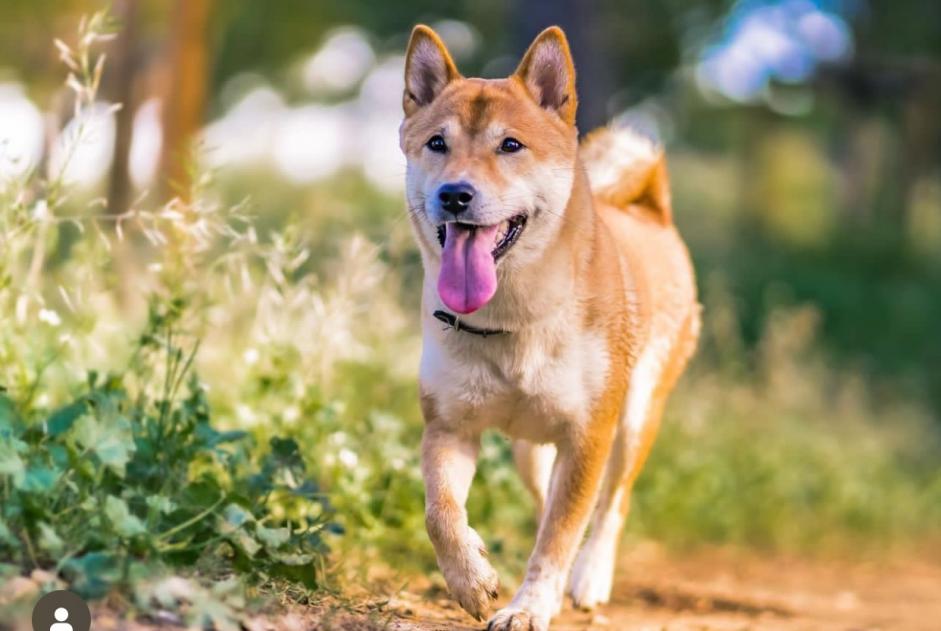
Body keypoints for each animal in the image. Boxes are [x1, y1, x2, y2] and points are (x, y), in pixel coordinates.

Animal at [396, 24, 696, 631]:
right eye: (437, 143)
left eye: (510, 145)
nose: (454, 194)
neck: (511, 319)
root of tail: (649, 209)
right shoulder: (449, 427)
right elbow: (441, 513)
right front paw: (472, 579)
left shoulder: (588, 436)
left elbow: (562, 534)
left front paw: (529, 606)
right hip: (529, 450)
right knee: (544, 506)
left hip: (634, 420)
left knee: (611, 505)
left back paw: (589, 578)